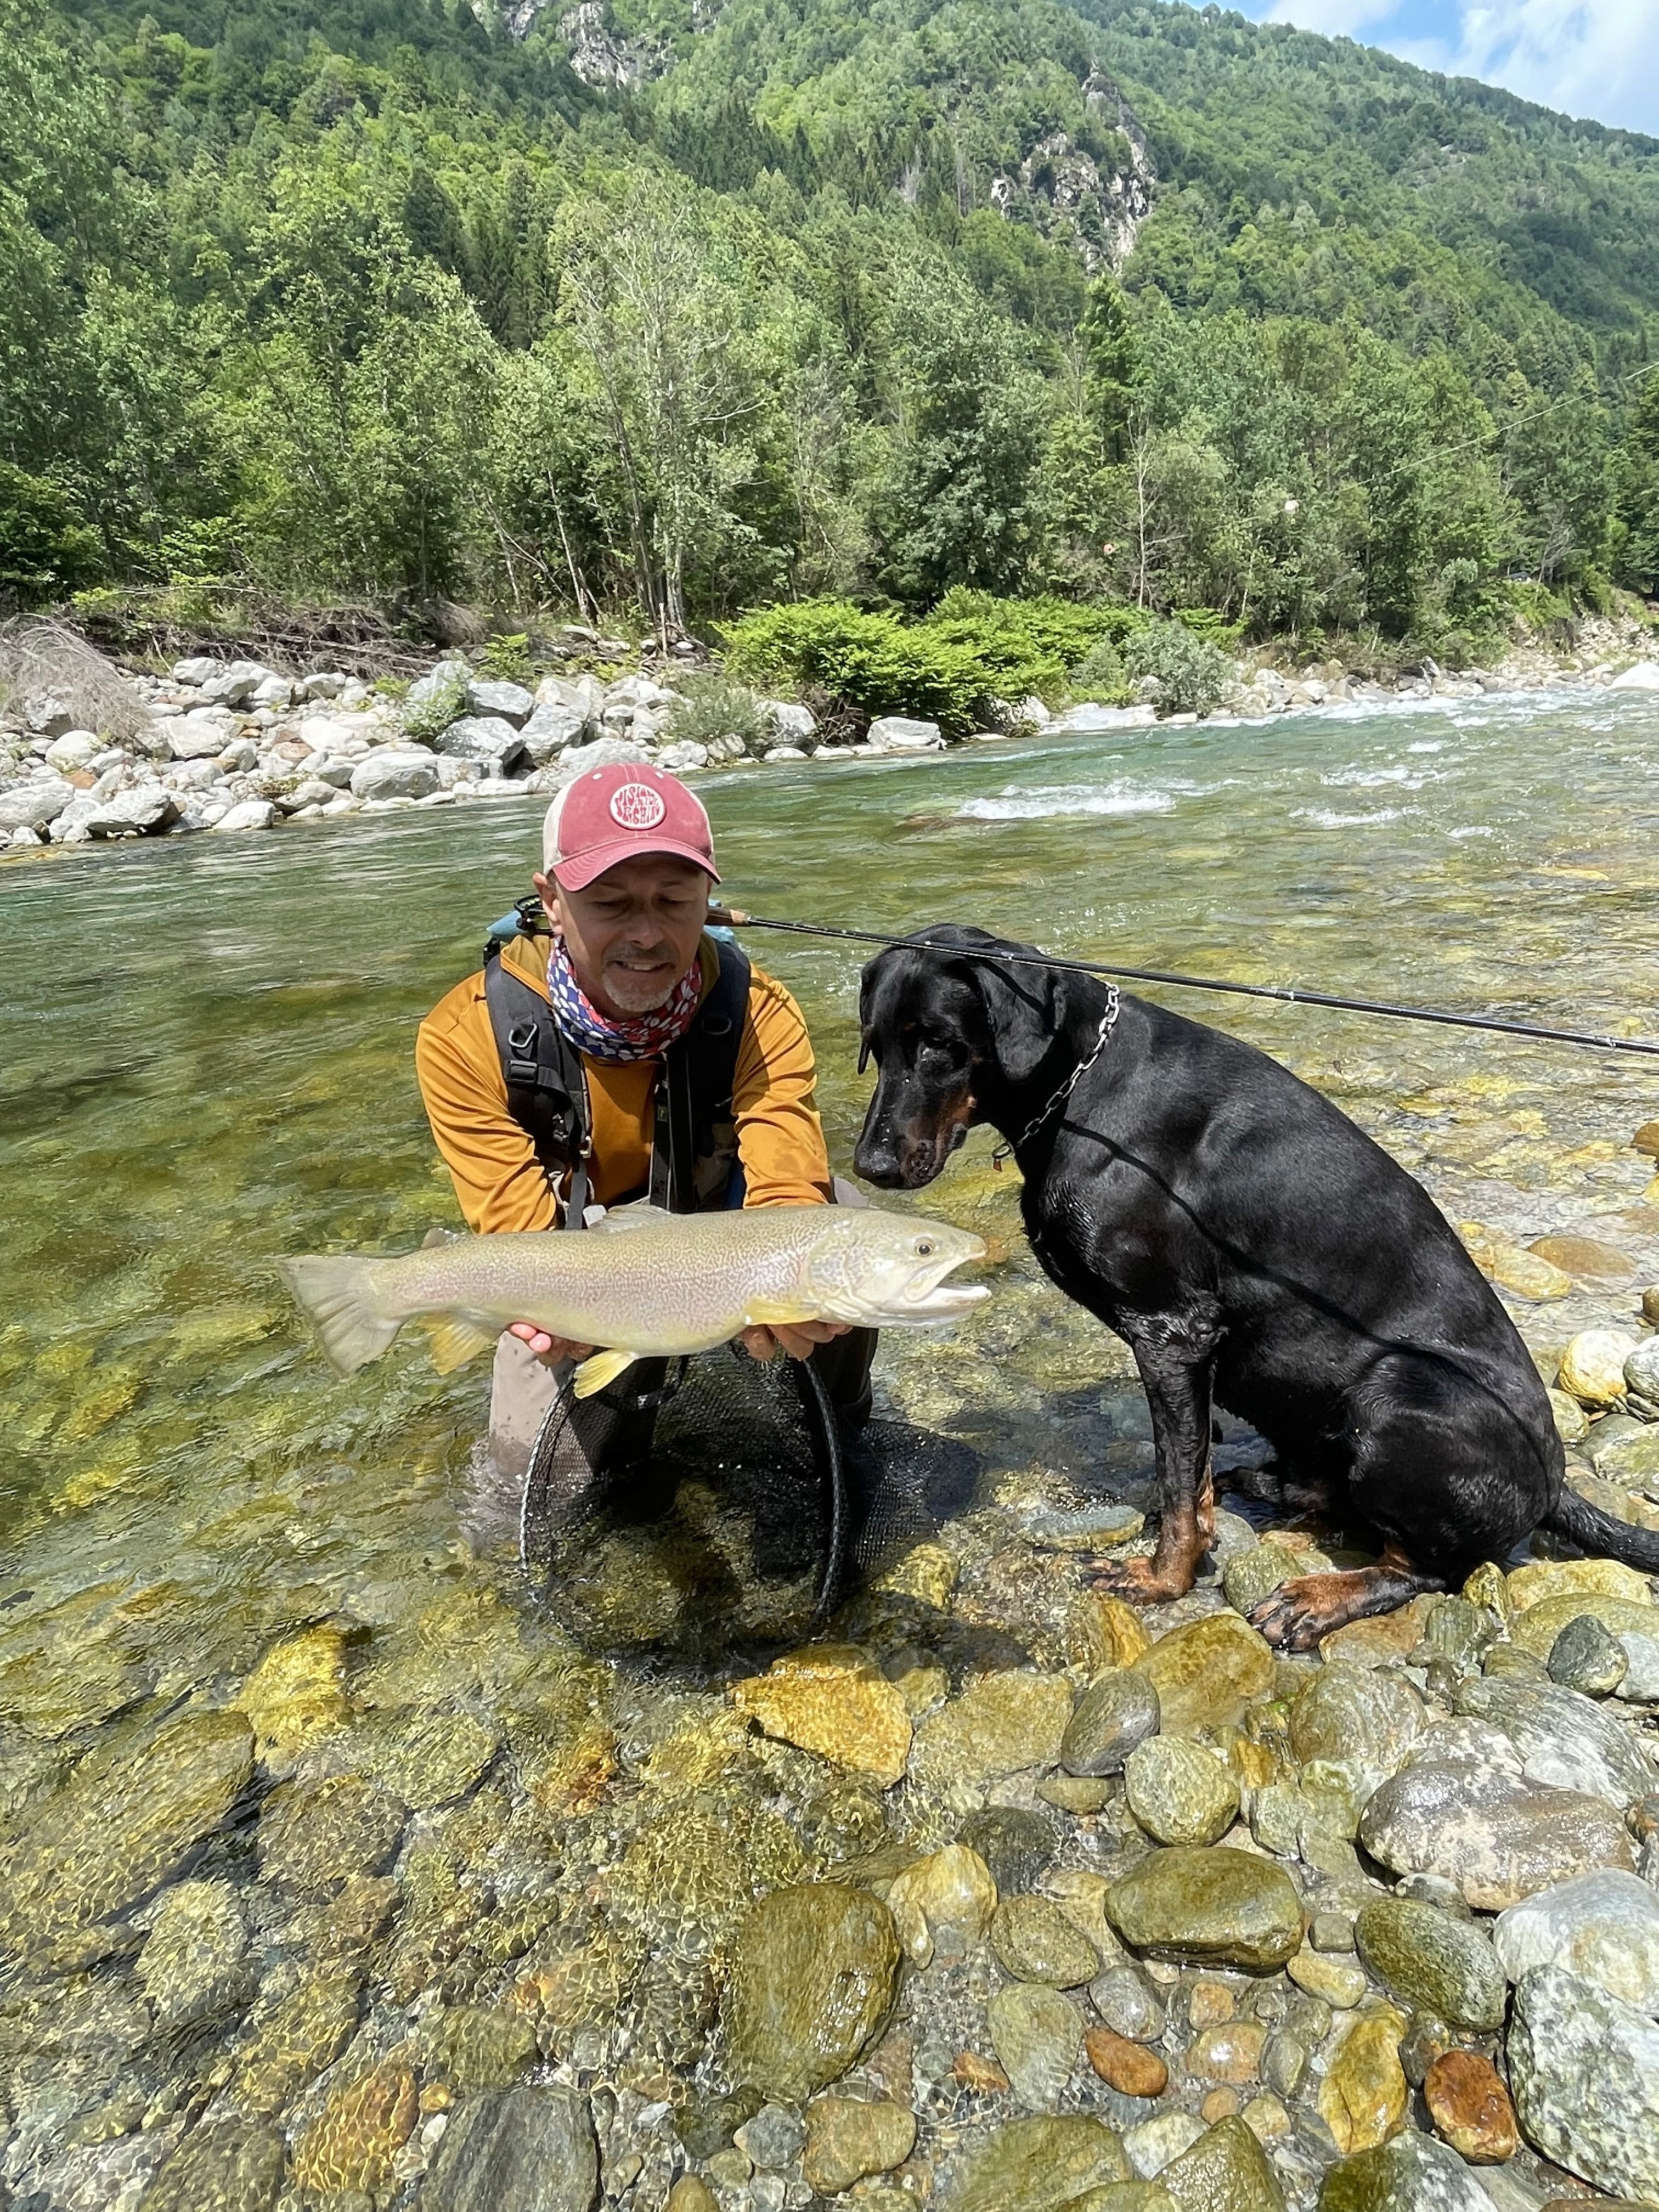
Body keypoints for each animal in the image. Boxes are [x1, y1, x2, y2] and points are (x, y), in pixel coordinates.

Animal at [849, 924, 1654, 1654]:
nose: (870, 1167)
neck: (1080, 1084)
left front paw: (1162, 1580)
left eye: (939, 1043)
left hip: (1399, 1392)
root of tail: (1554, 1483)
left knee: (1426, 1569)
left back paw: (1317, 1598)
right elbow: (1189, 1470)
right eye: (876, 1044)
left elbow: (1179, 1487)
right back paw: (1271, 1488)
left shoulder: (1172, 1329)